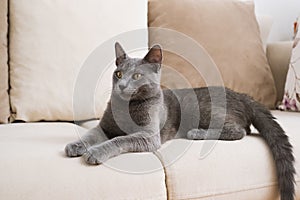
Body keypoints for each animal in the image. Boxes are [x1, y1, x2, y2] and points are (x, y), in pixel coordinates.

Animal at [65, 42, 296, 200]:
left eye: (137, 76)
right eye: (119, 74)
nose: (121, 85)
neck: (126, 107)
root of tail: (243, 95)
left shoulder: (149, 136)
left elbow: (119, 140)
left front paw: (95, 152)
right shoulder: (104, 127)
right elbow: (91, 134)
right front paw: (75, 145)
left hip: (205, 110)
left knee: (240, 130)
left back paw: (196, 133)